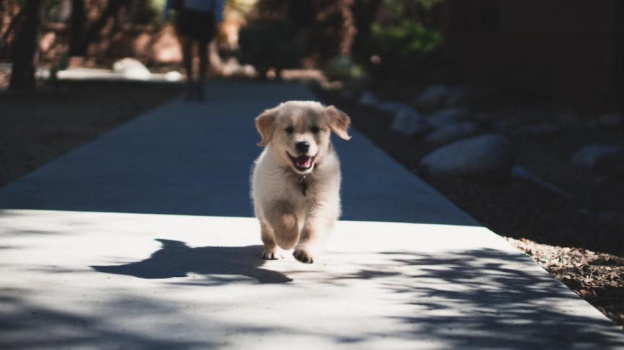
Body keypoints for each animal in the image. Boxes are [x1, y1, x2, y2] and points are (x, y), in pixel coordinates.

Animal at [252, 100, 352, 262]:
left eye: (315, 129)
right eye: (289, 129)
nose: (303, 145)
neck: (300, 176)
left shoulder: (322, 202)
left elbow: (313, 227)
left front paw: (305, 251)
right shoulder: (272, 199)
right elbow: (286, 219)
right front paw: (288, 241)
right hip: (260, 209)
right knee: (267, 232)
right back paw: (272, 250)